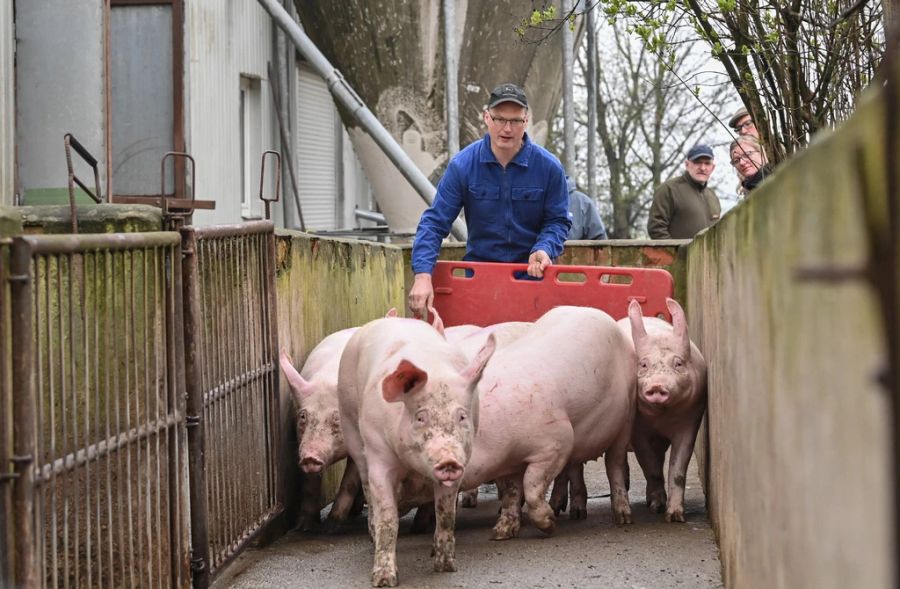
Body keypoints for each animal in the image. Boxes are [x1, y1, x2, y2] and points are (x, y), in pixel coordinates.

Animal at [338, 316, 496, 584]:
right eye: (421, 417)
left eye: (462, 416)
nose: (448, 460)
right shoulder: (379, 455)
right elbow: (388, 518)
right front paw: (384, 580)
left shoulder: (461, 464)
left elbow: (446, 513)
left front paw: (446, 566)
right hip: (350, 424)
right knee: (365, 482)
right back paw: (371, 535)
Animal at [620, 296, 712, 520]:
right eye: (643, 365)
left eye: (678, 363)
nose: (657, 386)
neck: (661, 417)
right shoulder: (637, 429)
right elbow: (649, 466)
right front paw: (656, 507)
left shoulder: (691, 419)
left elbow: (677, 470)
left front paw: (675, 516)